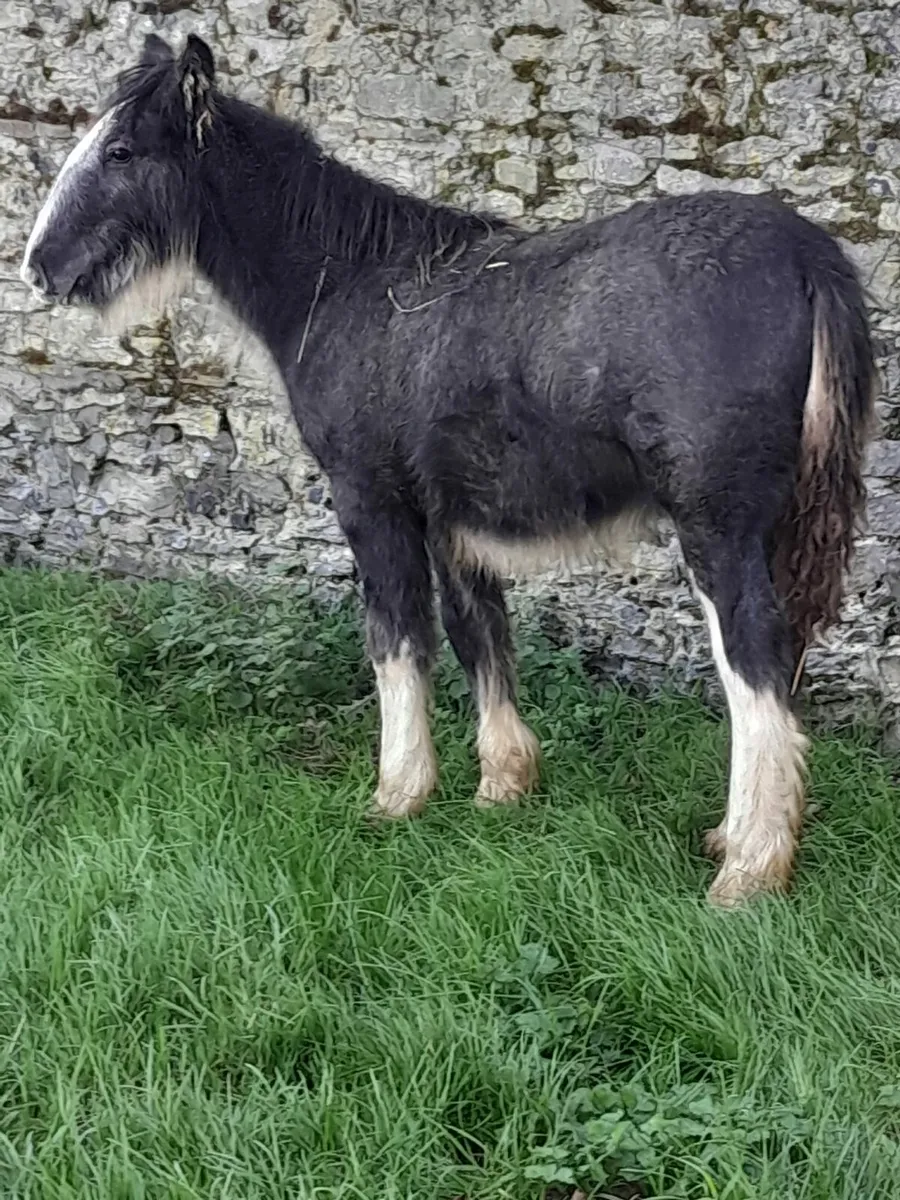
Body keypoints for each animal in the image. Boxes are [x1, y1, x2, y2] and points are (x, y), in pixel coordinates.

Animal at [19, 33, 876, 906]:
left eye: (121, 151)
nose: (38, 267)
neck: (350, 283)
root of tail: (808, 255)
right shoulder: (451, 517)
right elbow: (479, 635)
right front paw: (504, 783)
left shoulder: (370, 501)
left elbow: (397, 640)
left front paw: (397, 794)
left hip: (717, 528)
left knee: (754, 662)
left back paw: (751, 867)